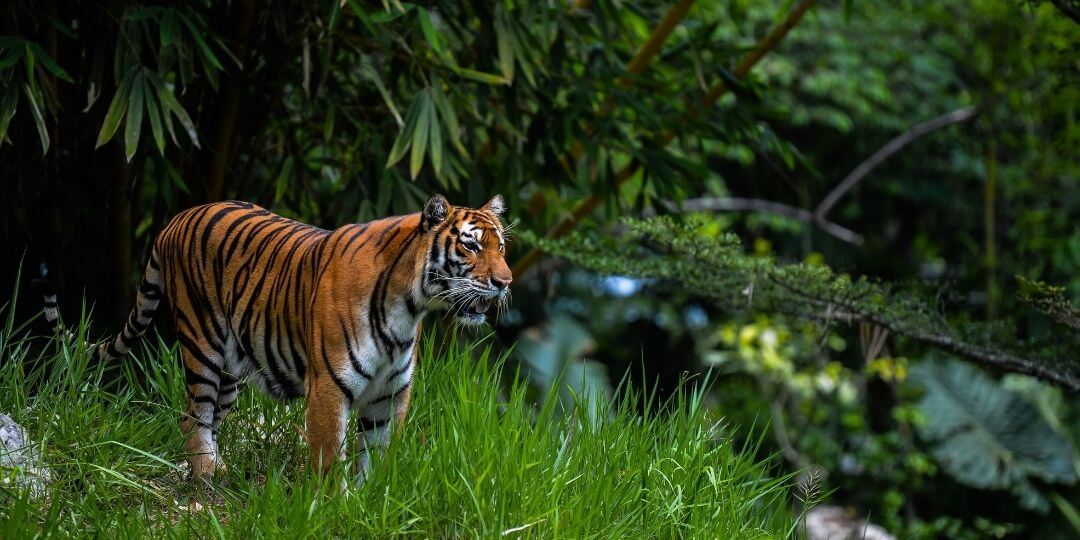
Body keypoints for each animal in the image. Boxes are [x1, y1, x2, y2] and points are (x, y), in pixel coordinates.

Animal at [41, 194, 512, 484]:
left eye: (502, 248)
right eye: (470, 247)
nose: (506, 282)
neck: (408, 308)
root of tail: (177, 217)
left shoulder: (390, 394)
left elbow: (376, 457)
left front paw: (368, 501)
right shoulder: (329, 387)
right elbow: (329, 457)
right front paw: (336, 509)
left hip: (233, 366)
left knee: (208, 417)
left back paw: (218, 469)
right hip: (202, 344)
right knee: (194, 415)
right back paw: (208, 473)